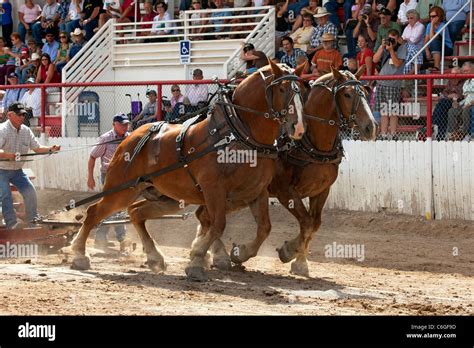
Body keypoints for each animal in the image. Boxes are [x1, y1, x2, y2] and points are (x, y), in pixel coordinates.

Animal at [70, 59, 308, 282]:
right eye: (282, 89)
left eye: (302, 92)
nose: (298, 128)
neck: (237, 133)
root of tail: (130, 136)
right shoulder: (213, 189)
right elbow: (218, 224)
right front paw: (197, 259)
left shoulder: (256, 191)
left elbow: (264, 227)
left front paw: (238, 253)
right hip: (122, 189)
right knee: (94, 212)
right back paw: (79, 254)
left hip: (168, 197)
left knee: (136, 212)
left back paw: (155, 257)